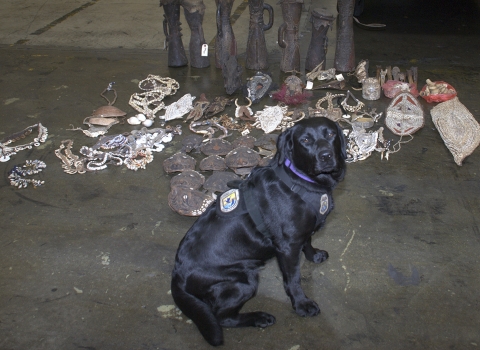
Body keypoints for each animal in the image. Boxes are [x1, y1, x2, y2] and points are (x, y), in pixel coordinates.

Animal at [170, 117, 344, 344]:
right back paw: (259, 318)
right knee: (222, 317)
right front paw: (301, 305)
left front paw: (314, 255)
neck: (302, 181)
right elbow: (293, 280)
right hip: (243, 281)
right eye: (305, 140)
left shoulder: (300, 232)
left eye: (331, 134)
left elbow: (308, 241)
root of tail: (177, 275)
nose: (326, 156)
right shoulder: (287, 247)